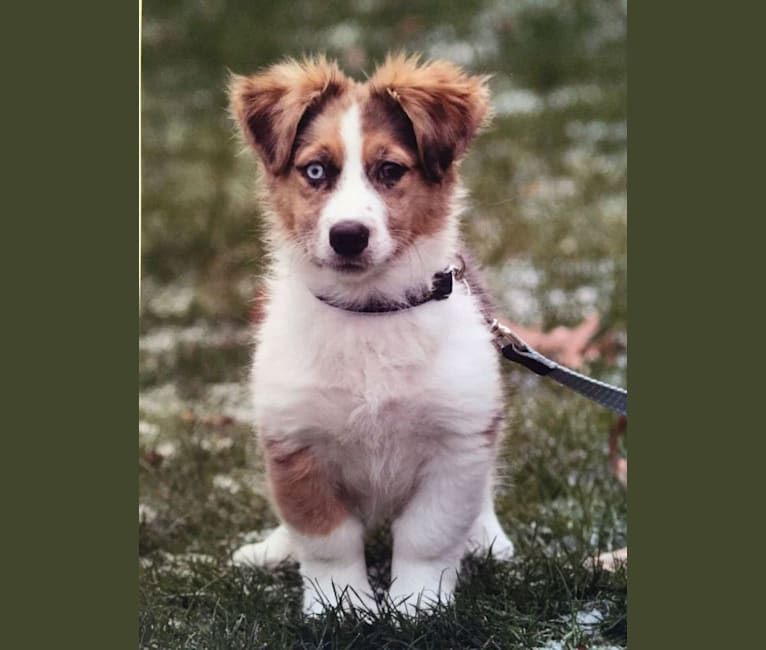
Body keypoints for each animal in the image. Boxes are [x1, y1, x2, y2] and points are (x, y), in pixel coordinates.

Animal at [230, 54, 516, 612]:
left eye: (389, 171)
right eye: (315, 170)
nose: (347, 236)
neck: (370, 313)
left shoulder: (458, 440)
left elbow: (428, 535)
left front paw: (417, 606)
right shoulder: (295, 442)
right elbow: (327, 539)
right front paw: (340, 607)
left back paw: (486, 538)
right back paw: (272, 547)